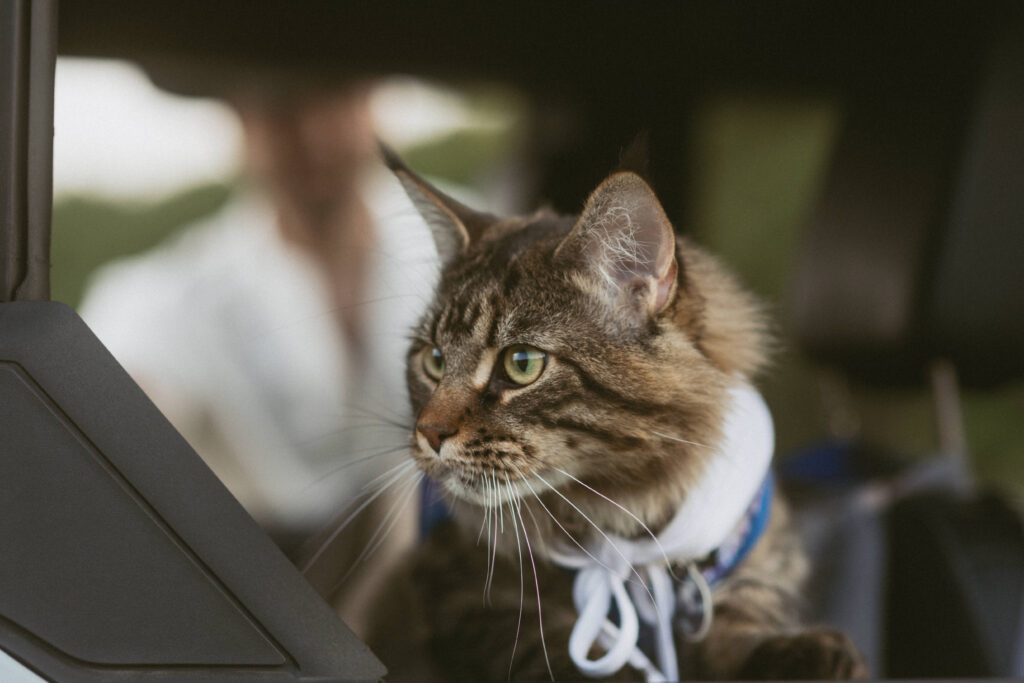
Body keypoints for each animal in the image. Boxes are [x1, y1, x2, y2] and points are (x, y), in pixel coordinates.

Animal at [368, 150, 864, 683]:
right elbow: (554, 648)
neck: (627, 532)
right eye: (434, 361)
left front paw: (807, 653)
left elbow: (742, 618)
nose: (429, 432)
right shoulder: (457, 591)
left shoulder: (760, 560)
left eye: (521, 364)